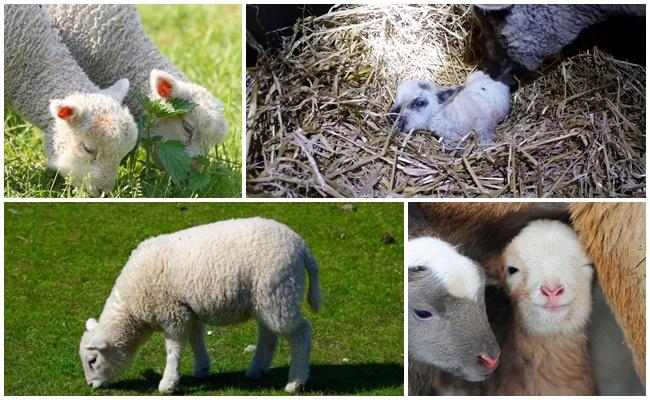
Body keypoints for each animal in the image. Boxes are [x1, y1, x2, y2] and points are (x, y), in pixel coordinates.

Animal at [79, 217, 322, 392]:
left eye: (92, 360)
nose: (91, 386)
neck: (131, 311)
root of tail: (301, 245)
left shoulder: (172, 312)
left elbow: (174, 349)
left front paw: (168, 383)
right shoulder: (188, 310)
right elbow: (196, 339)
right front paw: (202, 369)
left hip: (280, 293)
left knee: (301, 333)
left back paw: (295, 382)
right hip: (266, 299)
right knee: (268, 335)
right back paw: (256, 370)